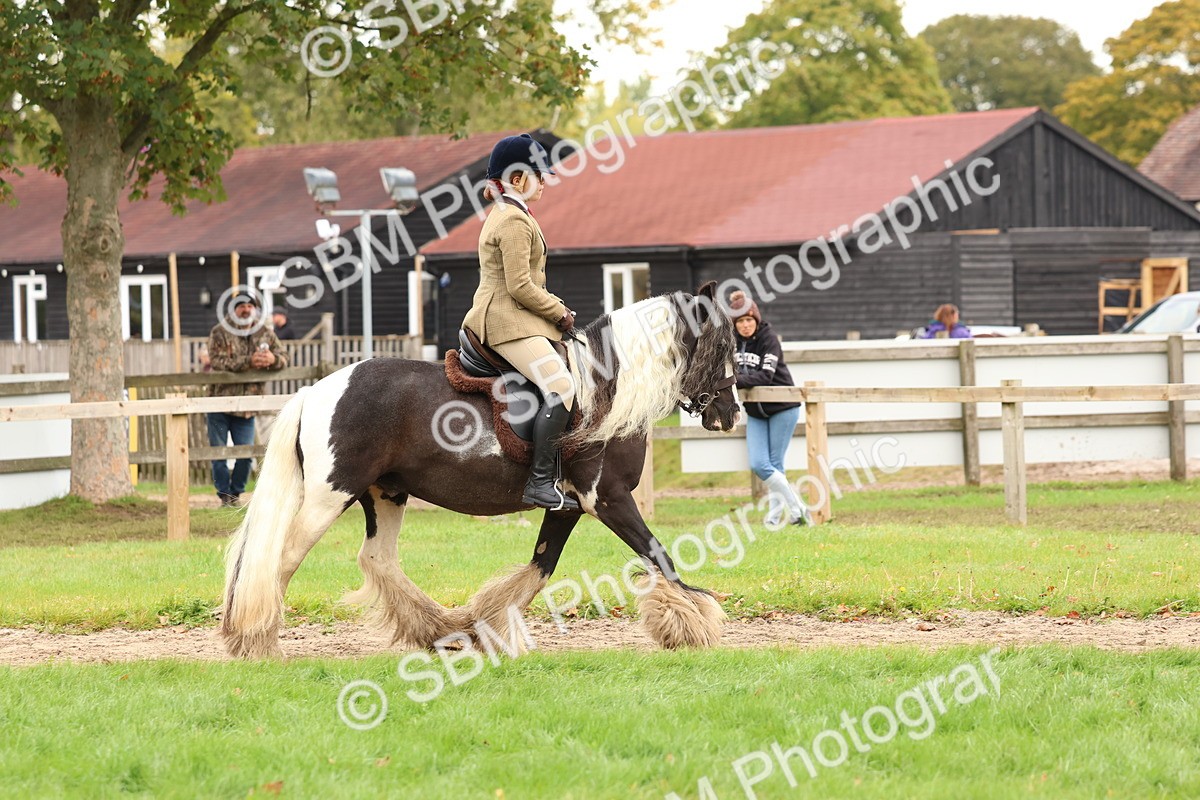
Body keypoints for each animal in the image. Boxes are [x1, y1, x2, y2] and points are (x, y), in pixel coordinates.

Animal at [219, 281, 741, 658]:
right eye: (723, 347)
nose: (730, 414)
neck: (604, 392)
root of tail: (316, 390)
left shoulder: (568, 506)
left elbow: (541, 567)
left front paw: (484, 628)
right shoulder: (607, 498)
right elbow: (659, 555)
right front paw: (694, 621)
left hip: (385, 493)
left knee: (377, 559)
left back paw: (441, 629)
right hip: (330, 495)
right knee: (284, 559)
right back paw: (257, 641)